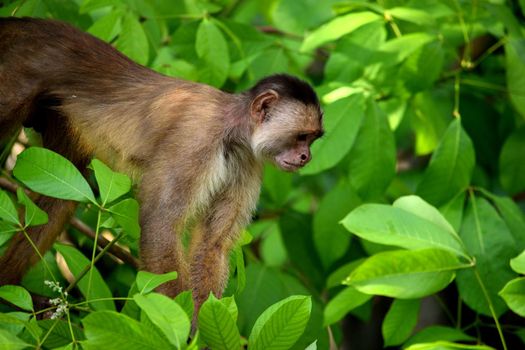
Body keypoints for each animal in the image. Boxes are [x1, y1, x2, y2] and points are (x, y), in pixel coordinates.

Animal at [0, 18, 324, 308]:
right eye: (301, 136)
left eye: (314, 139)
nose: (306, 156)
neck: (232, 132)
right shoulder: (196, 140)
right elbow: (161, 226)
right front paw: (181, 328)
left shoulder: (246, 162)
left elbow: (213, 245)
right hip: (18, 70)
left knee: (56, 202)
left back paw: (8, 286)